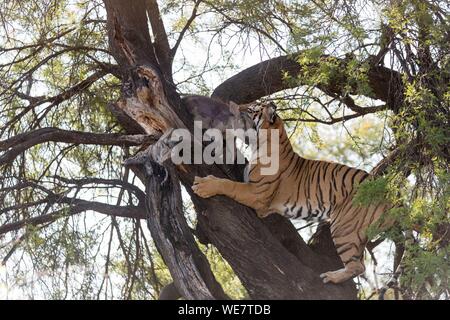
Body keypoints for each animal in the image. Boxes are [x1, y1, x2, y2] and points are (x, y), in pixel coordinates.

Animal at [192, 101, 392, 284]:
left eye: (250, 109)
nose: (233, 106)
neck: (261, 144)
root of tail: (388, 195)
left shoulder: (256, 193)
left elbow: (229, 185)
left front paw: (204, 184)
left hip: (344, 228)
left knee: (358, 266)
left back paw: (331, 277)